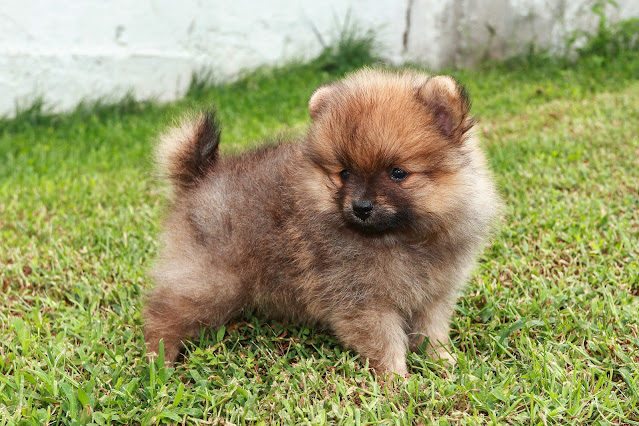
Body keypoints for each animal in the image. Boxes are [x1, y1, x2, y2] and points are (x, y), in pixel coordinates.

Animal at [145, 67, 500, 376]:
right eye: (345, 173)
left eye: (397, 173)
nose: (361, 207)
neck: (402, 239)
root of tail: (198, 177)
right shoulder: (363, 302)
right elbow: (385, 343)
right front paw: (398, 381)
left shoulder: (434, 294)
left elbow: (431, 331)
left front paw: (444, 362)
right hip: (210, 281)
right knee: (162, 312)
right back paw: (157, 360)